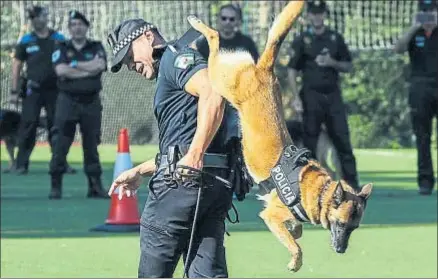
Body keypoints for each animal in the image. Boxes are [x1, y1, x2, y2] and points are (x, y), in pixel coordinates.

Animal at [187, 0, 372, 274]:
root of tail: (266, 70)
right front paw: (296, 260)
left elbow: (296, 231)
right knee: (215, 39)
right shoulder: (271, 215)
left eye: (354, 227)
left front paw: (294, 232)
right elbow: (296, 244)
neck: (317, 191)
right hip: (221, 80)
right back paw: (199, 26)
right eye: (340, 224)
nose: (340, 250)